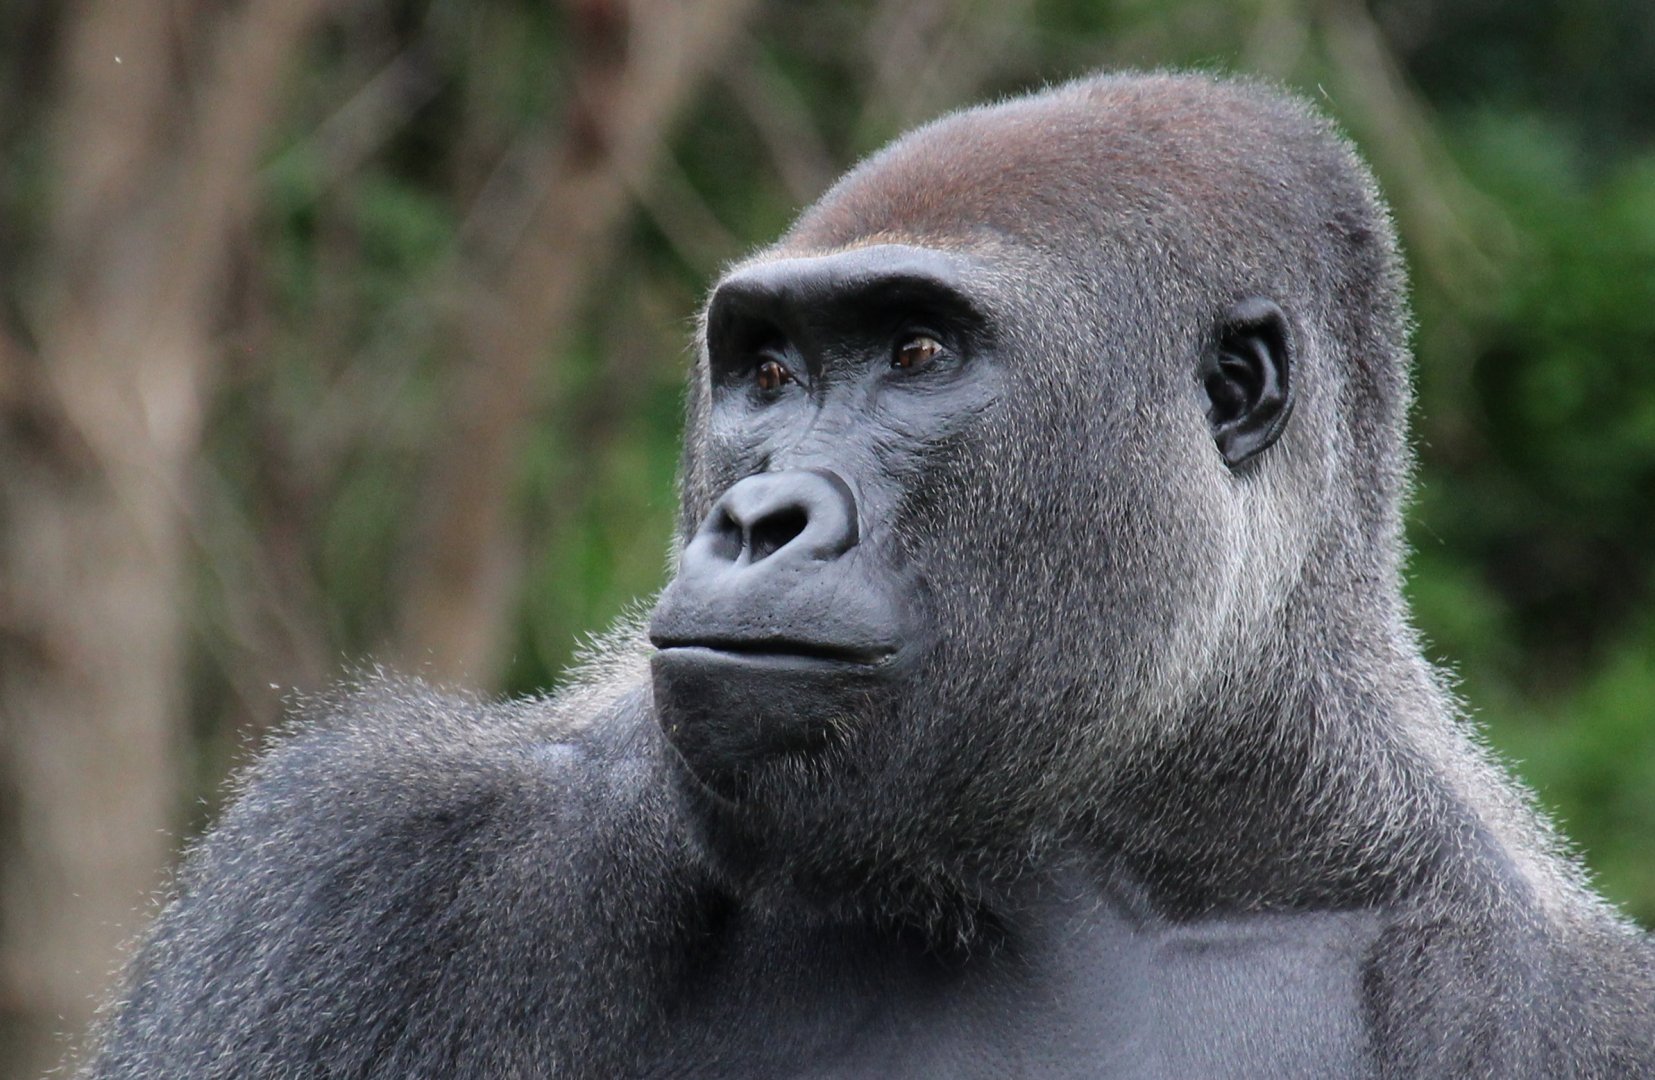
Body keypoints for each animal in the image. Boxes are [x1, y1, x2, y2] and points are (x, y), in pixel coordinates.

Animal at [81, 71, 1654, 1078]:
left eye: (914, 352)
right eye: (767, 372)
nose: (754, 519)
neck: (1142, 845)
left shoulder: (1558, 1002)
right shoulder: (390, 856)